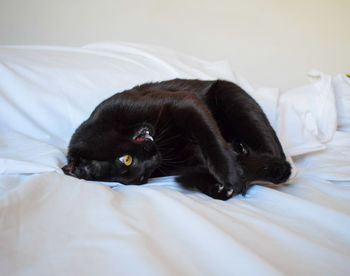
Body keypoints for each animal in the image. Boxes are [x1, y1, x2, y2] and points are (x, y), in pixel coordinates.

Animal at [62, 78, 290, 199]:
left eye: (125, 159)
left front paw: (230, 174)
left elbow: (211, 140)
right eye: (143, 178)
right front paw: (225, 182)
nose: (154, 159)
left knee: (275, 160)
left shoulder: (185, 102)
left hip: (234, 99)